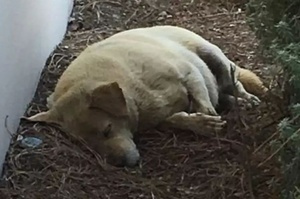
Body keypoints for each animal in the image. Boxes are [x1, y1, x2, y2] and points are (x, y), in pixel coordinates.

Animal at [25, 25, 264, 167]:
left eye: (107, 130)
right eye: (87, 145)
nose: (120, 163)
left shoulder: (189, 73)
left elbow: (202, 99)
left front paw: (207, 117)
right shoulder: (161, 115)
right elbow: (176, 119)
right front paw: (199, 123)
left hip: (213, 54)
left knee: (233, 82)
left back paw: (246, 98)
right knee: (226, 95)